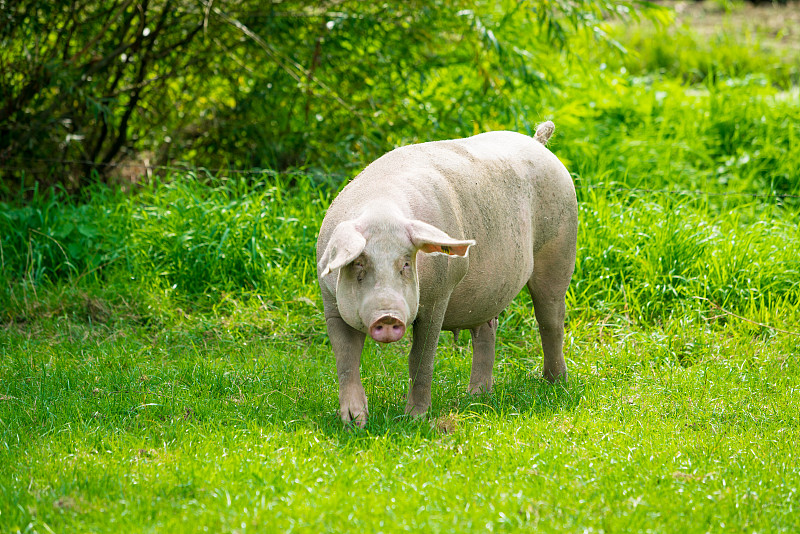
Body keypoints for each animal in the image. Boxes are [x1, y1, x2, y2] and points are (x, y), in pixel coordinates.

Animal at [318, 121, 576, 428]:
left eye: (406, 264)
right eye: (359, 264)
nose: (388, 316)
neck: (381, 209)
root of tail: (538, 142)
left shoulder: (437, 297)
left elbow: (420, 358)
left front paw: (414, 419)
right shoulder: (331, 304)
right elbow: (346, 361)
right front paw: (353, 423)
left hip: (560, 247)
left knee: (551, 320)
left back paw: (555, 383)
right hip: (489, 290)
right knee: (487, 330)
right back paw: (476, 396)